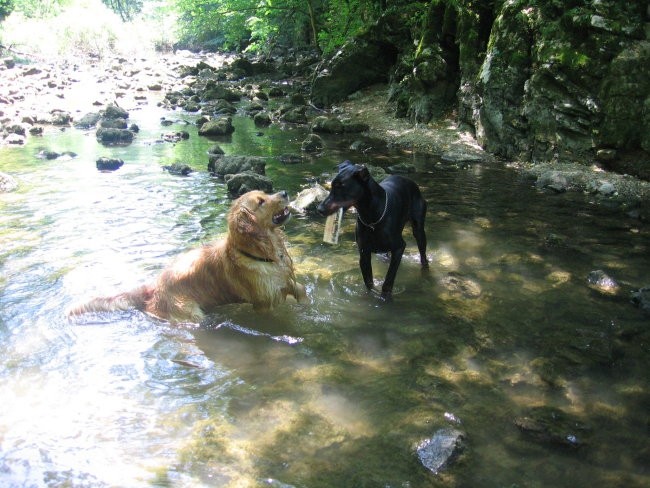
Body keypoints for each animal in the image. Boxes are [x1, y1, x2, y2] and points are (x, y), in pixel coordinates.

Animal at [316, 161, 428, 298]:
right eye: (332, 186)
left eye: (341, 187)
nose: (319, 209)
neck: (371, 218)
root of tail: (410, 181)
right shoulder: (364, 252)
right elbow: (368, 282)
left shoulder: (399, 247)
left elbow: (388, 280)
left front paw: (385, 297)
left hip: (418, 228)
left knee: (423, 254)